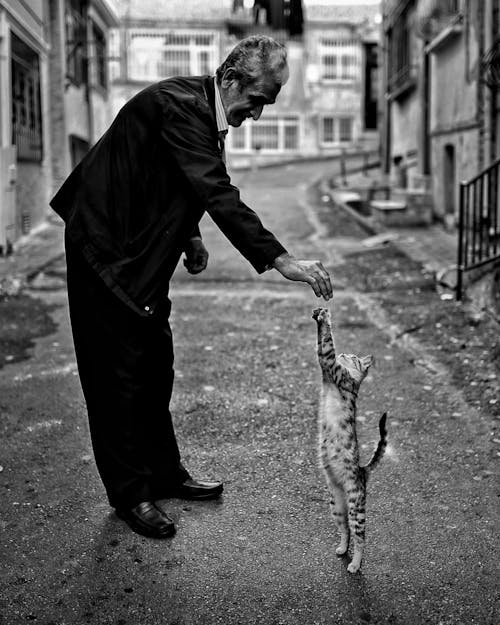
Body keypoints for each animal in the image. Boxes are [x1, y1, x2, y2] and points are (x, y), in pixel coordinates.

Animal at [310, 304, 388, 572]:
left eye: (353, 357)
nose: (345, 353)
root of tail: (364, 471)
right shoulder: (326, 372)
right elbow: (321, 344)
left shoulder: (331, 365)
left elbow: (325, 343)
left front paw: (325, 317)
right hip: (335, 504)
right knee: (344, 531)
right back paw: (343, 549)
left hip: (356, 507)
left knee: (361, 538)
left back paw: (355, 564)